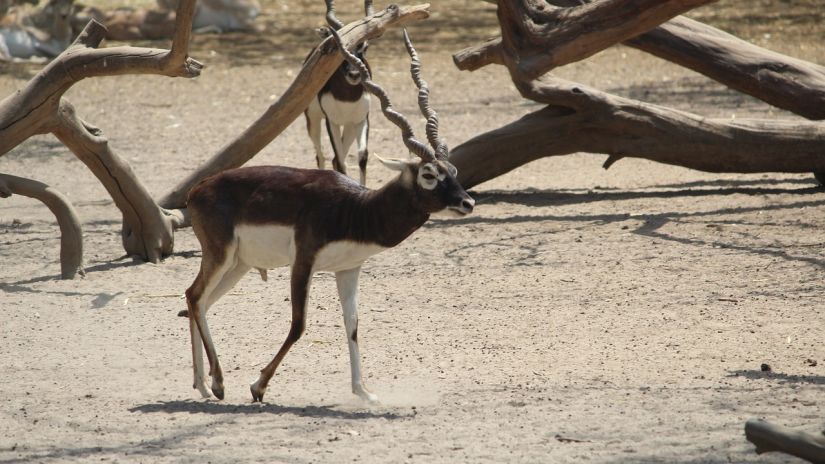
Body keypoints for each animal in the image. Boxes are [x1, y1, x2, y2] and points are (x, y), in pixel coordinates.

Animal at [183, 28, 474, 402]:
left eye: (453, 170)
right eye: (428, 174)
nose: (467, 203)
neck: (355, 210)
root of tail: (197, 190)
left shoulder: (348, 269)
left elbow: (353, 326)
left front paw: (364, 393)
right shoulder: (303, 261)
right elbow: (298, 325)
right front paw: (258, 385)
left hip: (239, 264)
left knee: (199, 302)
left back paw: (204, 385)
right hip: (220, 255)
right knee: (194, 296)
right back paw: (218, 383)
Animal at [304, 0, 372, 185]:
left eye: (364, 47)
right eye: (340, 47)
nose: (354, 74)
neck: (347, 98)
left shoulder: (361, 120)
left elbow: (362, 157)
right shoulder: (331, 122)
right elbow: (340, 160)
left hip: (348, 126)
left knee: (334, 158)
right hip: (313, 120)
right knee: (321, 156)